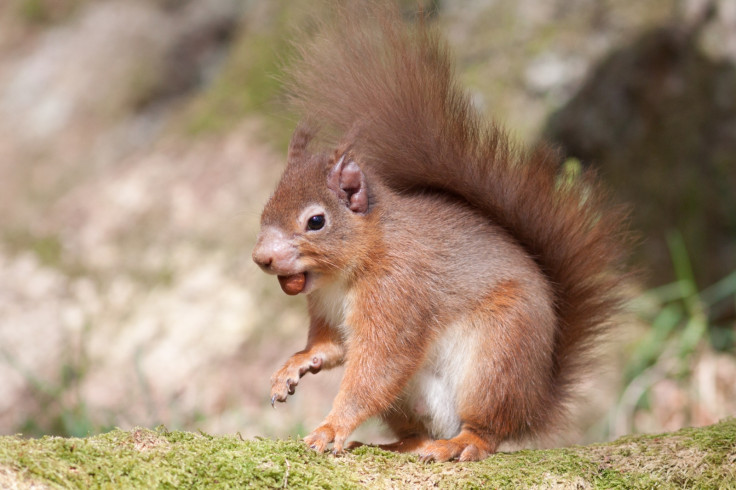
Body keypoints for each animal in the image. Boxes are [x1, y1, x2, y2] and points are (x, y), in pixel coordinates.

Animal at [252, 4, 628, 464]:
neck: (347, 271)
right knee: (418, 431)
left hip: (497, 359)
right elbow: (332, 347)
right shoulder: (329, 313)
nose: (262, 258)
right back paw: (393, 444)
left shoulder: (398, 295)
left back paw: (459, 444)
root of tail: (535, 404)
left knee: (487, 431)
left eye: (316, 222)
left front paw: (330, 427)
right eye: (266, 206)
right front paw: (294, 367)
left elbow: (377, 368)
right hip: (412, 400)